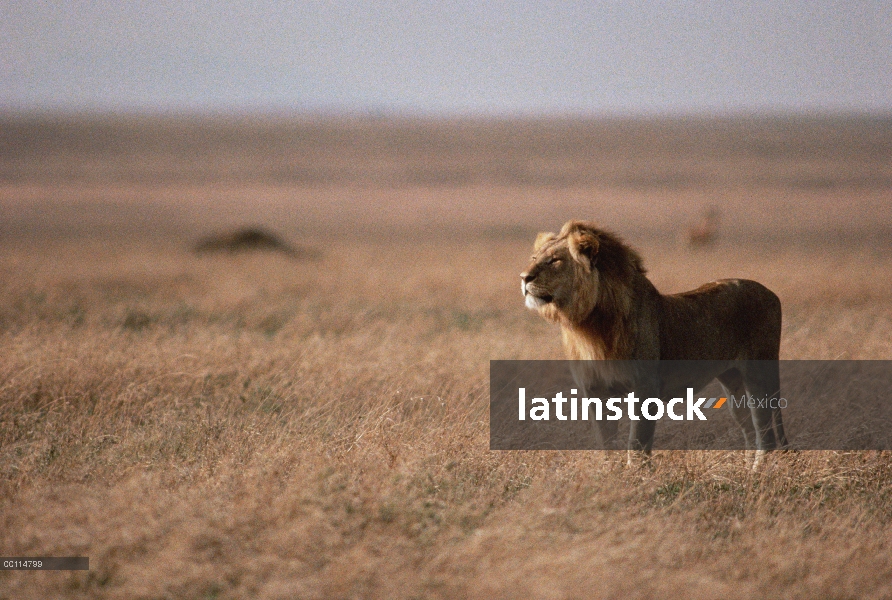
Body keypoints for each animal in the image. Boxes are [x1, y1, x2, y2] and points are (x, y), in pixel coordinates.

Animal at [524, 220, 788, 464]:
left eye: (554, 260)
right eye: (535, 257)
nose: (524, 277)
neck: (590, 325)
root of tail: (772, 293)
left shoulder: (645, 387)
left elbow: (637, 442)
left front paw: (637, 476)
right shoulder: (595, 391)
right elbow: (606, 444)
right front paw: (609, 474)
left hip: (758, 373)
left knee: (766, 435)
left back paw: (757, 475)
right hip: (733, 382)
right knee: (750, 431)